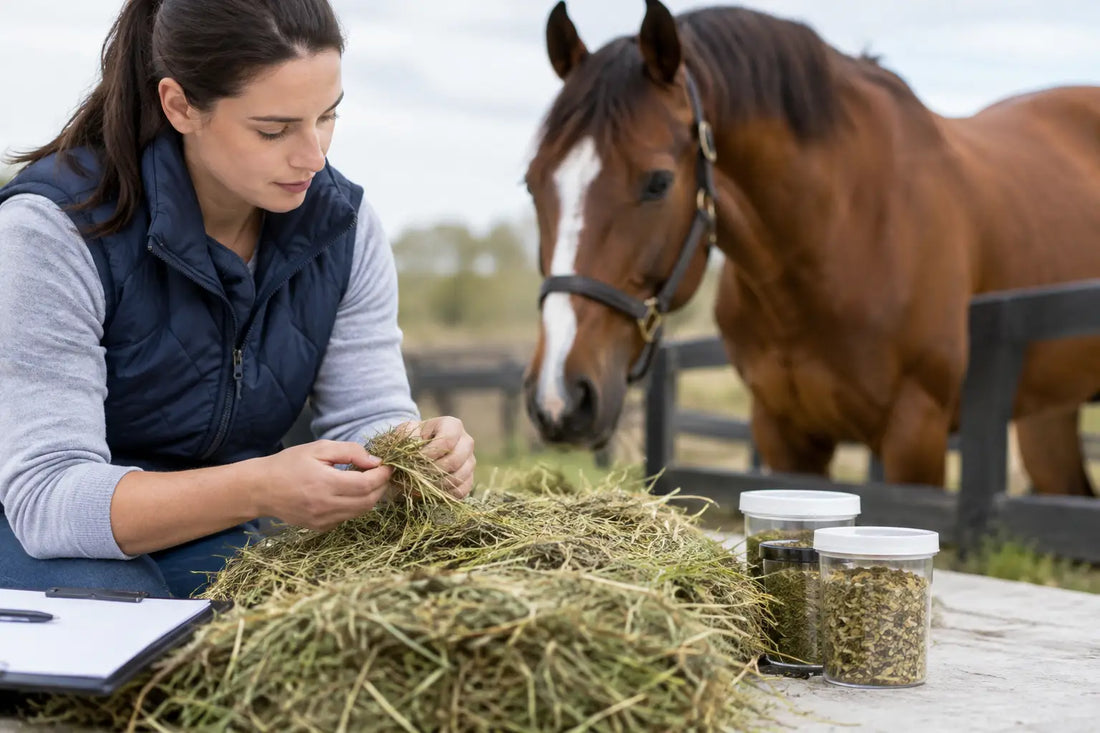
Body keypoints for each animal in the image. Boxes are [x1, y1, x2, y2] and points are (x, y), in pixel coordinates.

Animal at [522, 0, 1100, 496]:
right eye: (531, 183)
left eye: (658, 182)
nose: (558, 398)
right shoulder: (784, 434)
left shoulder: (917, 434)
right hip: (1047, 417)